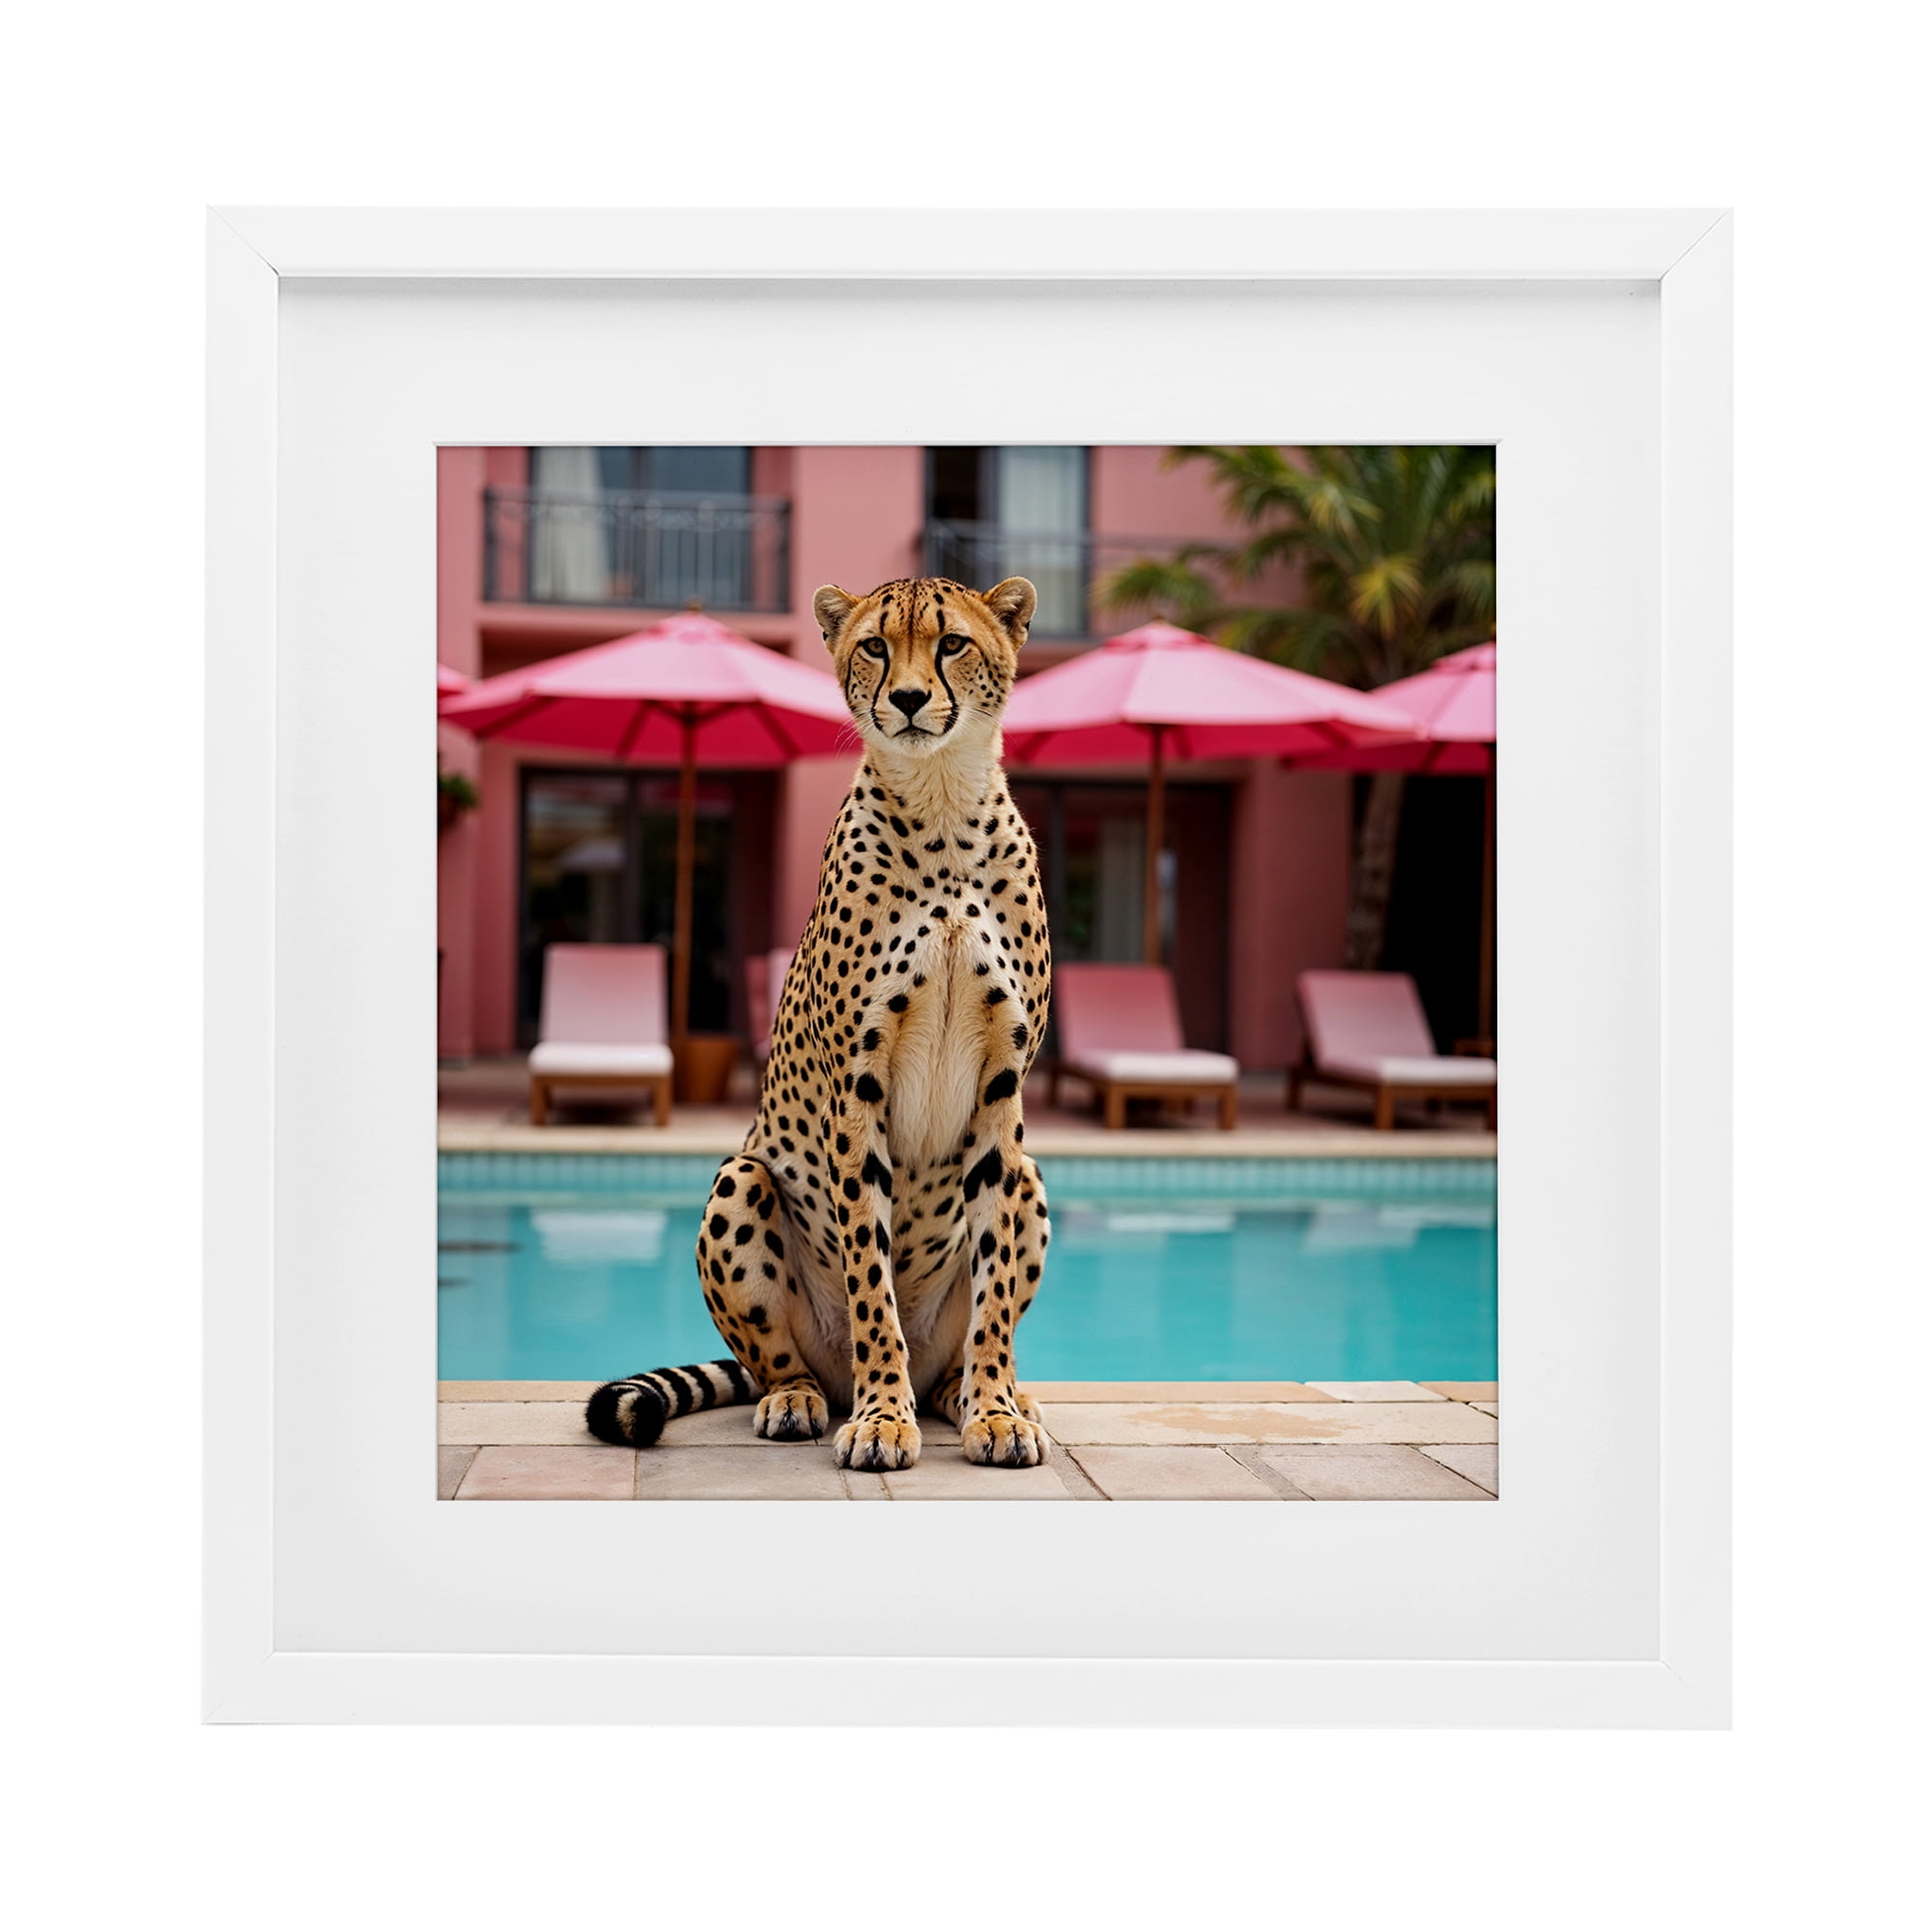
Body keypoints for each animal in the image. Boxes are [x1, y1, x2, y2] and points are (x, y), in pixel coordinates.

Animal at [585, 575, 1053, 1470]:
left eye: (951, 643)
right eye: (874, 646)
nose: (907, 699)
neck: (944, 805)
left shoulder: (1004, 1093)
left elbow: (995, 1283)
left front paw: (996, 1411)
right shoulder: (856, 1091)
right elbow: (872, 1282)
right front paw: (881, 1417)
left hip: (1034, 1179)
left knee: (977, 1321)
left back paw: (981, 1393)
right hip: (742, 1177)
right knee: (779, 1358)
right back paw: (803, 1398)